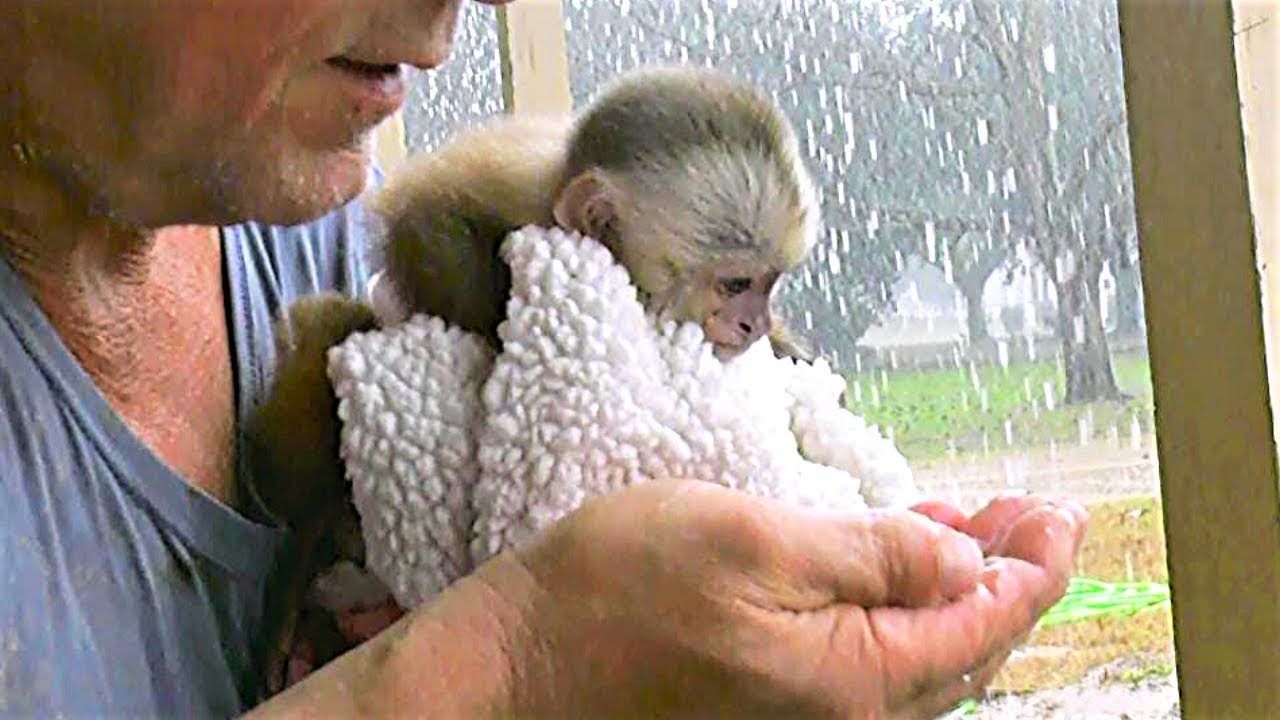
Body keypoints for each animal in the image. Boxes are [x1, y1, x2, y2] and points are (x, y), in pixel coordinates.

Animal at [246, 65, 823, 692]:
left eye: (770, 283)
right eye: (735, 284)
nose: (754, 322)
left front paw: (785, 344)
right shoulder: (521, 204)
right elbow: (427, 216)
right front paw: (494, 325)